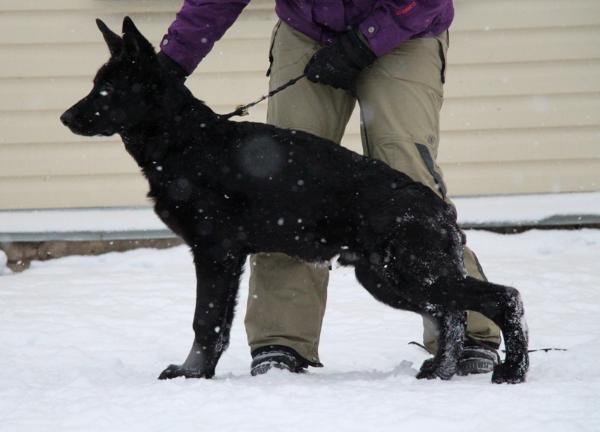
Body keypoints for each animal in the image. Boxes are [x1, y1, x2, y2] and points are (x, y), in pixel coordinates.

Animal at [62, 16, 528, 384]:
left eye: (106, 89)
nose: (65, 118)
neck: (187, 141)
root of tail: (436, 205)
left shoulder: (215, 254)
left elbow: (205, 321)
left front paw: (192, 374)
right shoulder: (225, 258)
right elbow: (216, 324)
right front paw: (201, 372)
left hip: (410, 275)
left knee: (501, 298)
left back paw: (511, 372)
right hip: (387, 279)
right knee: (449, 314)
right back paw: (439, 371)